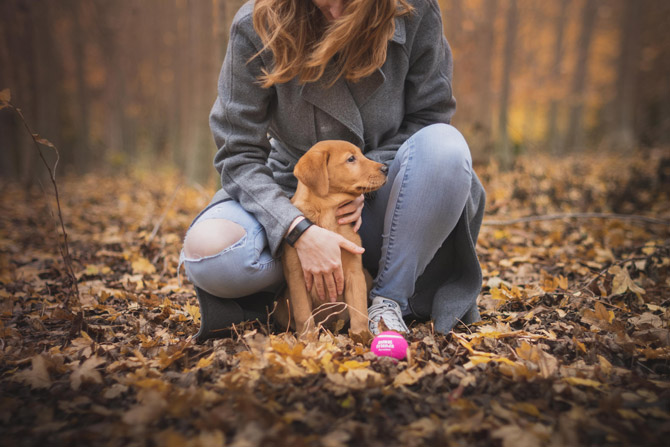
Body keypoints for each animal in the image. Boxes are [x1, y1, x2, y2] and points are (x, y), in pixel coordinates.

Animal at [276, 140, 388, 336]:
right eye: (351, 159)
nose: (386, 168)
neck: (327, 213)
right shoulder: (297, 277)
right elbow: (304, 316)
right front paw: (308, 341)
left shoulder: (354, 273)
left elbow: (359, 312)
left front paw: (362, 338)